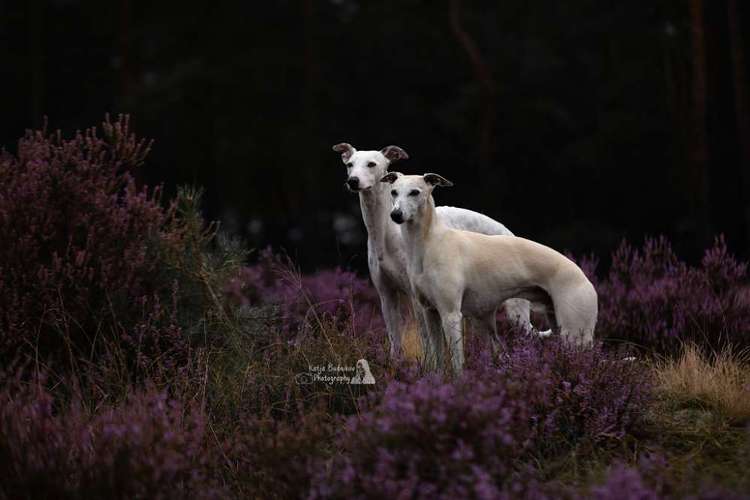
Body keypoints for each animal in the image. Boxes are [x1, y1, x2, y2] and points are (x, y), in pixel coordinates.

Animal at [332, 144, 536, 364]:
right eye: (349, 164)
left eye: (372, 164)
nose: (353, 181)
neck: (386, 234)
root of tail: (507, 231)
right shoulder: (386, 296)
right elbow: (395, 340)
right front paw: (396, 366)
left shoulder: (417, 299)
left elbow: (426, 340)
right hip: (479, 309)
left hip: (516, 312)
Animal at [382, 172, 600, 372]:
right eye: (393, 192)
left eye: (415, 192)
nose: (395, 215)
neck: (429, 243)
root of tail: (585, 277)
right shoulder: (430, 313)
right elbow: (437, 361)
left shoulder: (451, 315)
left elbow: (458, 364)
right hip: (556, 324)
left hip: (574, 335)